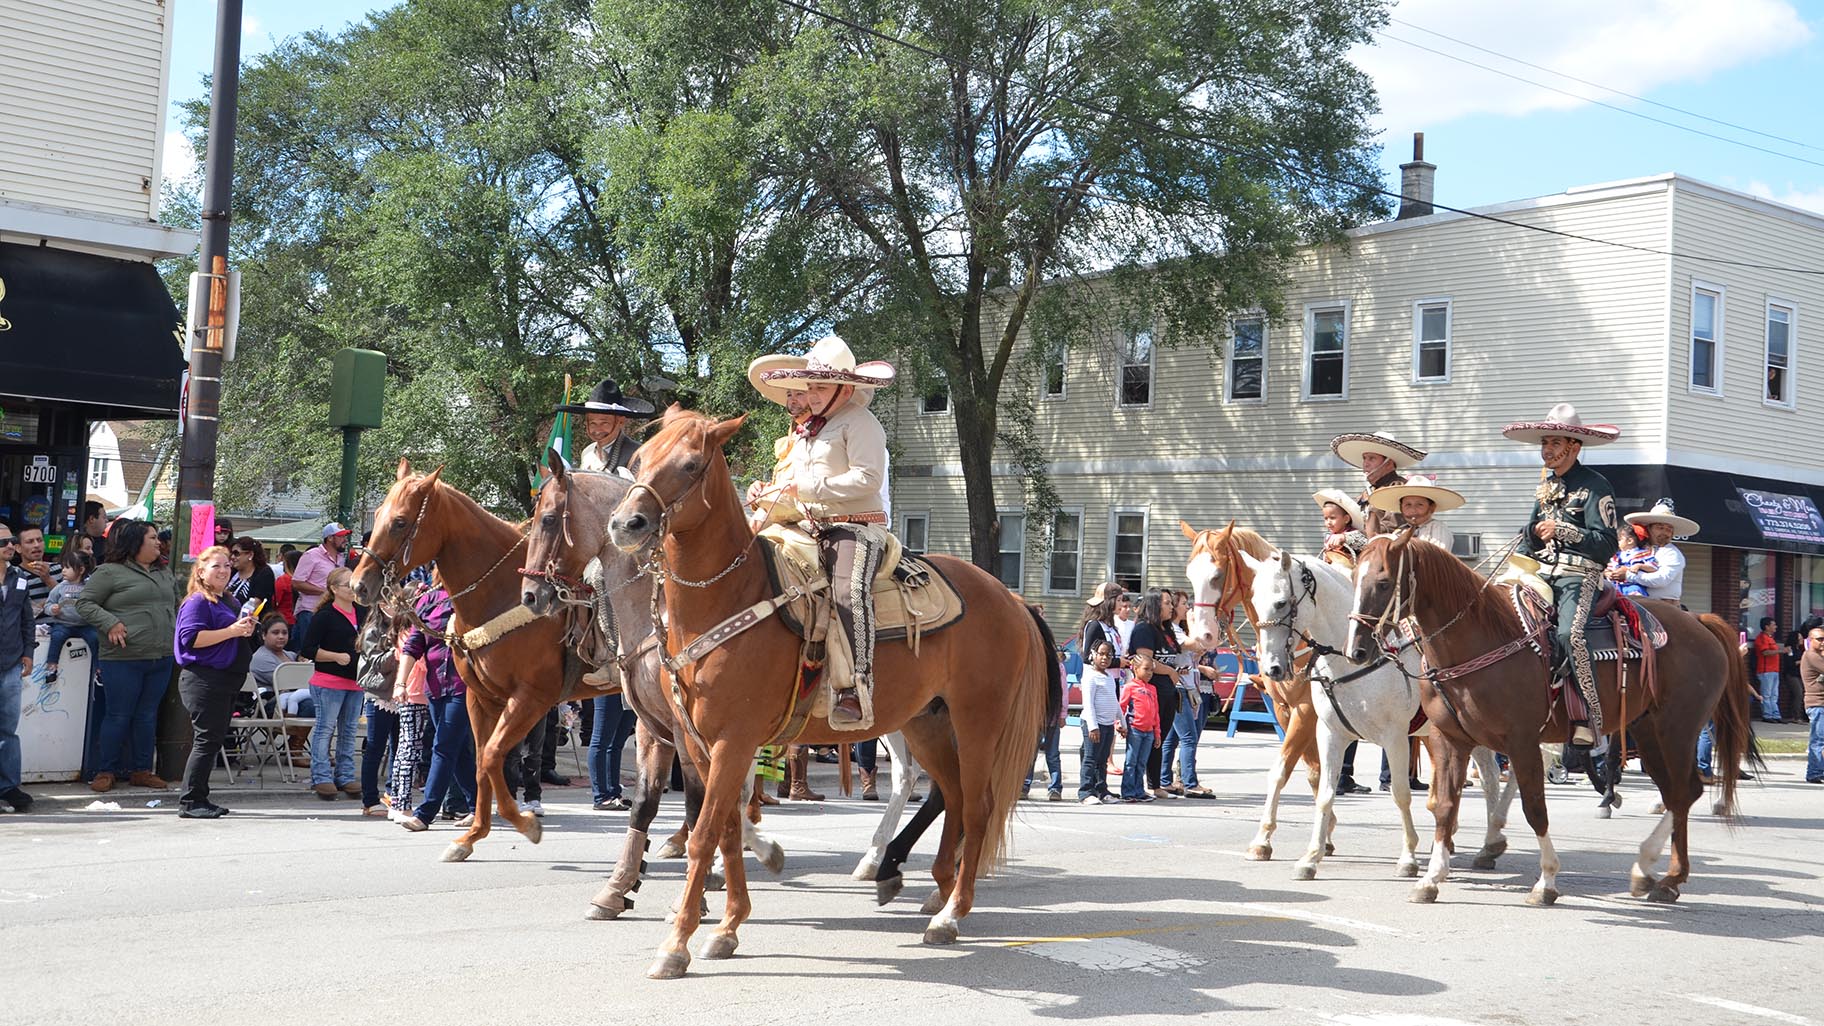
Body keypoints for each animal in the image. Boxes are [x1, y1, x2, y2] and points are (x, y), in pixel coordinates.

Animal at [539, 403, 1057, 978]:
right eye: (638, 462)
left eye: (692, 464)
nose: (626, 524)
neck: (722, 600)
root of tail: (1011, 597)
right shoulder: (692, 739)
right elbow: (717, 826)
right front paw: (725, 924)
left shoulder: (729, 740)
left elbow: (704, 831)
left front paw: (678, 938)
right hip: (927, 721)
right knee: (953, 796)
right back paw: (920, 885)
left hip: (978, 720)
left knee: (979, 805)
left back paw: (947, 911)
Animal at [1240, 547, 1510, 876]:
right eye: (1254, 603)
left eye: (1280, 602)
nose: (1272, 668)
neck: (1350, 660)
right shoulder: (1329, 733)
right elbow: (1324, 792)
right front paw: (1311, 856)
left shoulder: (1394, 738)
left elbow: (1400, 793)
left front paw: (1408, 857)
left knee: (1489, 778)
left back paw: (1488, 844)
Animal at [1349, 529, 1758, 898]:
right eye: (1354, 578)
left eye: (1383, 583)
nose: (1357, 650)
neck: (1481, 639)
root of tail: (1700, 621)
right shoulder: (1449, 739)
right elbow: (1445, 805)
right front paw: (1432, 878)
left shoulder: (1522, 742)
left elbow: (1534, 809)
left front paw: (1546, 881)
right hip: (1648, 732)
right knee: (1679, 794)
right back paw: (1657, 875)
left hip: (1676, 730)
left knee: (1683, 792)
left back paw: (1661, 872)